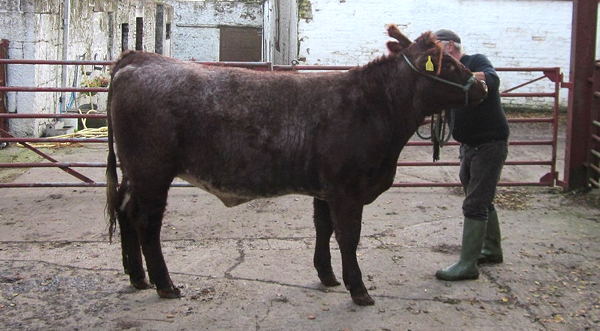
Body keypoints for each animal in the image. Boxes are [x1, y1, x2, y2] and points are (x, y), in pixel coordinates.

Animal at [104, 25, 488, 306]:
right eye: (448, 64)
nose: (483, 86)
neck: (376, 106)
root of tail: (140, 57)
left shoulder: (326, 189)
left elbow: (323, 228)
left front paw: (327, 276)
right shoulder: (348, 189)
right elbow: (348, 236)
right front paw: (358, 290)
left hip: (135, 172)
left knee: (124, 210)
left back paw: (137, 277)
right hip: (153, 170)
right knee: (147, 222)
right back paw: (165, 284)